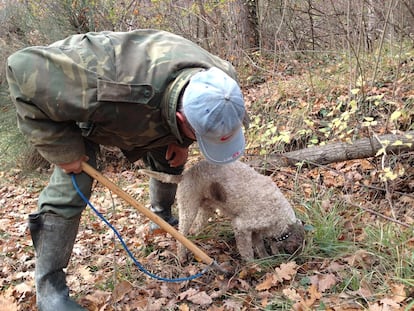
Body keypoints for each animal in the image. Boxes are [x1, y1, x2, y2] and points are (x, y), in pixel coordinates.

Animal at [139, 161, 304, 260]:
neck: (280, 216)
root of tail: (184, 175)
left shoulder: (256, 230)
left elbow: (259, 245)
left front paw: (264, 259)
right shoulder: (241, 226)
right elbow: (248, 251)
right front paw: (254, 266)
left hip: (206, 210)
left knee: (194, 229)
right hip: (188, 209)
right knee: (181, 236)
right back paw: (182, 257)